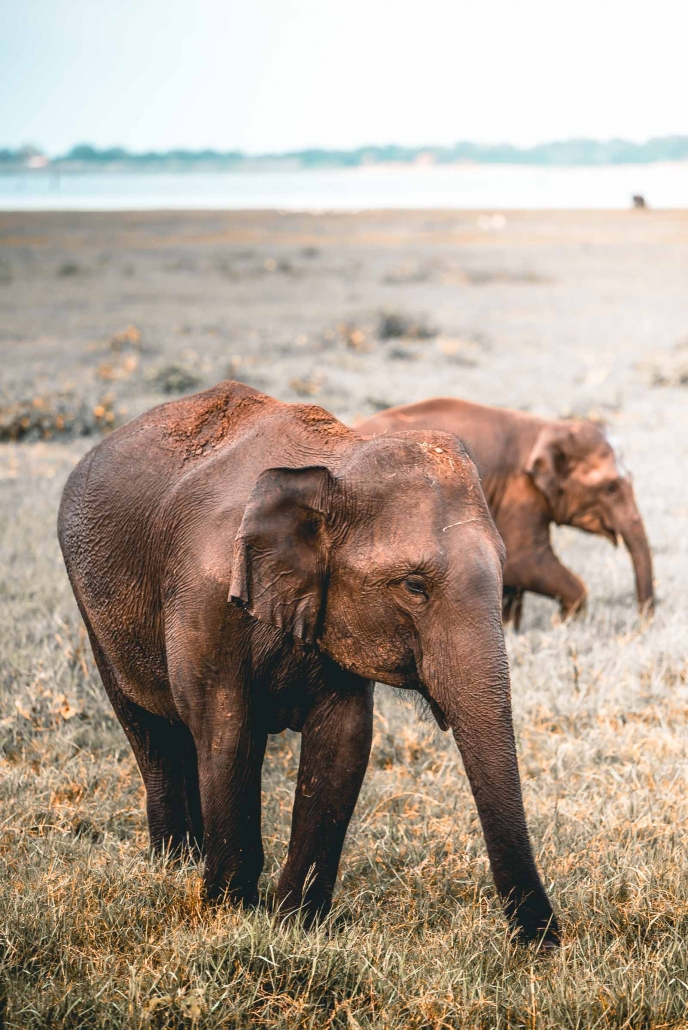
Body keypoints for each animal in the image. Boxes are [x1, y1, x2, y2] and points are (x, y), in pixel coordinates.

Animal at [59, 379, 560, 943]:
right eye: (414, 586)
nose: (543, 942)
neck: (334, 463)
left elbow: (344, 740)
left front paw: (294, 924)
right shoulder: (203, 595)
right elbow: (228, 729)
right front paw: (230, 914)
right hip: (92, 605)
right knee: (148, 727)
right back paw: (173, 864)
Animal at [358, 397, 655, 626]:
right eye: (611, 488)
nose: (643, 623)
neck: (548, 427)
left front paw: (516, 629)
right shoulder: (520, 492)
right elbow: (525, 561)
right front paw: (563, 625)